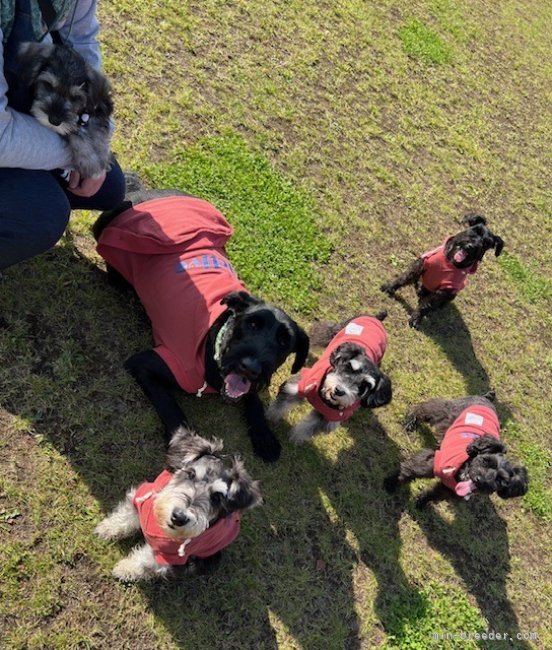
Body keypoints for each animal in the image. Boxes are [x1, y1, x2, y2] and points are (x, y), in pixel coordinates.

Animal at [14, 41, 112, 177]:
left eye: (75, 97)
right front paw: (90, 160)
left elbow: (96, 128)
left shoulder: (97, 109)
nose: (54, 120)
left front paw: (100, 155)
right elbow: (72, 132)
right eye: (48, 85)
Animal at [95, 178, 310, 460]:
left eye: (285, 342)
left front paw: (264, 435)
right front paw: (185, 443)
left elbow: (252, 400)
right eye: (251, 324)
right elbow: (173, 411)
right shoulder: (144, 364)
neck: (213, 346)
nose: (250, 367)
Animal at [95, 428, 264, 580]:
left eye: (216, 497)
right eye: (190, 474)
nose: (179, 517)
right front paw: (106, 529)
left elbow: (146, 562)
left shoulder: (170, 556)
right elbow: (124, 517)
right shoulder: (139, 497)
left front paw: (125, 568)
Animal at [268, 312, 392, 442]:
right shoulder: (297, 387)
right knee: (315, 337)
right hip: (331, 332)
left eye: (364, 385)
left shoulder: (326, 418)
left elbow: (307, 427)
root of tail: (377, 318)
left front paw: (295, 438)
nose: (339, 390)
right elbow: (280, 406)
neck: (324, 398)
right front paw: (270, 418)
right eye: (349, 367)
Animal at [382, 390, 528, 506]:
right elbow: (409, 470)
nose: (479, 480)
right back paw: (410, 421)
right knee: (425, 408)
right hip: (445, 412)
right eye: (485, 460)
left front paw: (421, 503)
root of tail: (487, 398)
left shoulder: (448, 490)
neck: (464, 469)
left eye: (500, 480)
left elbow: (432, 495)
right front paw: (391, 483)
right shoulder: (429, 462)